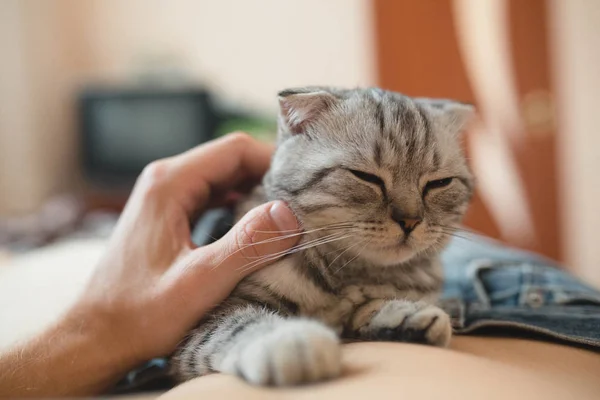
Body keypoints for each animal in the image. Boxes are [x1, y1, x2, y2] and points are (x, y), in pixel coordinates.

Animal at [171, 86, 476, 384]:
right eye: (366, 177)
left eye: (439, 183)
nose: (410, 220)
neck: (353, 272)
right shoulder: (215, 317)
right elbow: (243, 325)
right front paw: (290, 341)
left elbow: (369, 306)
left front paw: (405, 315)